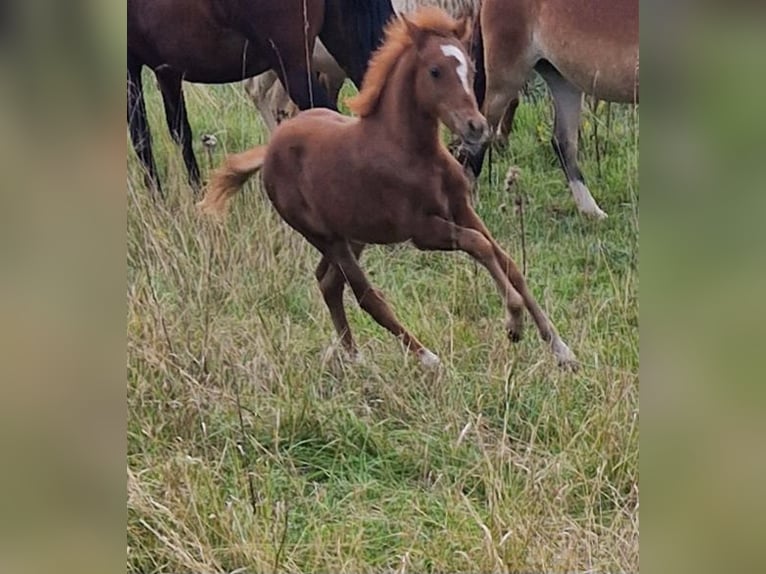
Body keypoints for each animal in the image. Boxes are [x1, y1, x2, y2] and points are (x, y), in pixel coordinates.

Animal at [127, 0, 395, 195]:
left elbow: (140, 135)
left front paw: (157, 200)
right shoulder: (167, 69)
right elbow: (181, 132)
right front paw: (197, 196)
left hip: (292, 66)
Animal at [198, 8, 578, 369]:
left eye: (471, 70)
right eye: (435, 71)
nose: (476, 127)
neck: (410, 150)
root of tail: (270, 149)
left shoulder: (461, 208)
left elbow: (507, 261)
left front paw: (560, 348)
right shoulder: (422, 231)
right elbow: (479, 245)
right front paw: (514, 322)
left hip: (354, 233)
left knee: (328, 282)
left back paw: (353, 356)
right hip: (324, 236)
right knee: (365, 294)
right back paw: (427, 359)